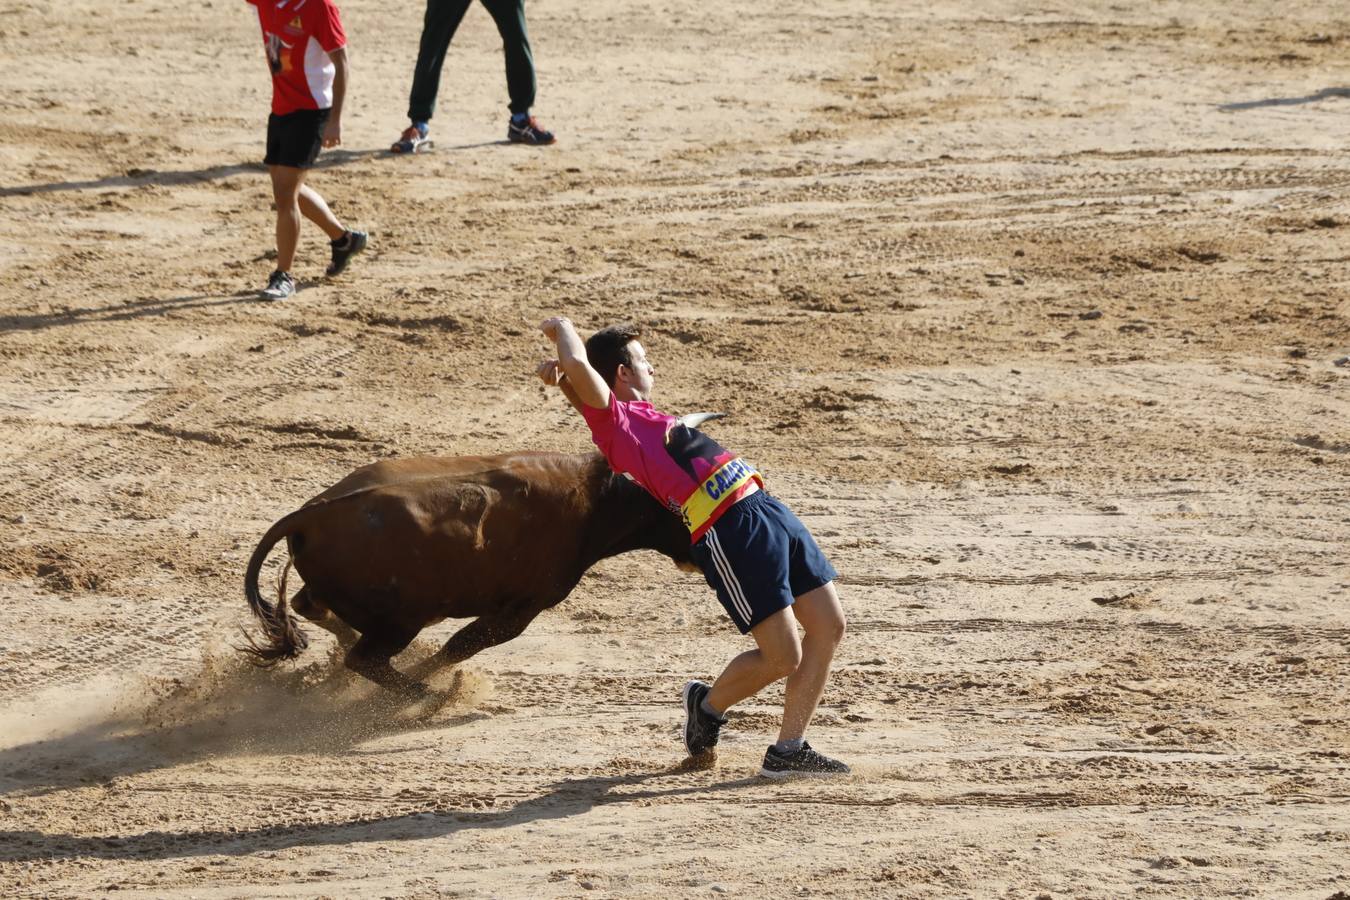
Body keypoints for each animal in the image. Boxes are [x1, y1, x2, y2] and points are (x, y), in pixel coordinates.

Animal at [238, 450, 696, 696]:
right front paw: (443, 689)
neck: (598, 499)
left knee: (310, 608)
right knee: (364, 657)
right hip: (401, 621)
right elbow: (461, 647)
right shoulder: (519, 610)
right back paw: (424, 697)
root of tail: (313, 514)